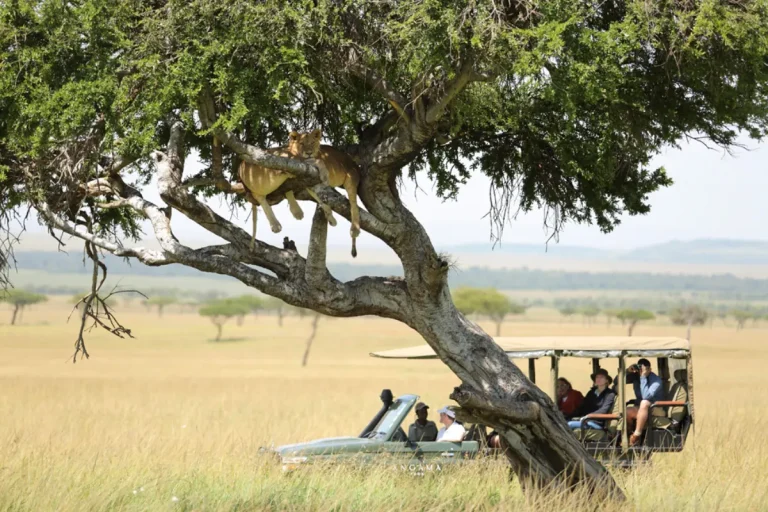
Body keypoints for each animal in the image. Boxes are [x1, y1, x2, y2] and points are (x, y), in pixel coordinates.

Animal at [235, 129, 361, 257]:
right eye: (302, 143)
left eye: (312, 142)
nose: (309, 152)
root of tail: (240, 167)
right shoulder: (300, 166)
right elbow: (317, 163)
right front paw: (324, 174)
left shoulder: (308, 178)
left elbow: (318, 196)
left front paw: (329, 215)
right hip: (278, 165)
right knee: (261, 194)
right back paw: (276, 224)